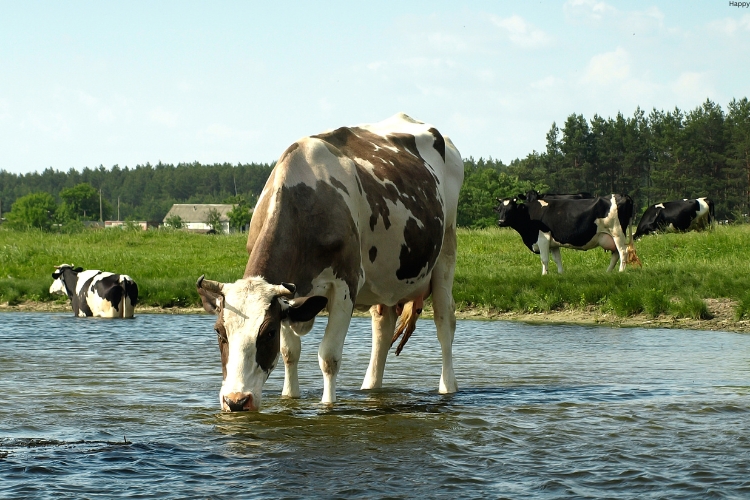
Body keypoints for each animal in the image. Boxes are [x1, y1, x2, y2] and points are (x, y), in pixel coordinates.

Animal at [195, 115, 464, 412]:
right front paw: (290, 398)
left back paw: (447, 388)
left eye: (268, 333)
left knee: (444, 322)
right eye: (220, 332)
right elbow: (290, 353)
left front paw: (328, 407)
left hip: (446, 253)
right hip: (386, 278)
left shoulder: (345, 283)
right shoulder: (289, 296)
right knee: (383, 327)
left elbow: (329, 357)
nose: (236, 400)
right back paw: (371, 388)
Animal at [496, 194, 636, 274]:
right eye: (499, 209)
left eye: (511, 209)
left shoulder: (543, 238)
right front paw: (560, 274)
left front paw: (544, 275)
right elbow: (557, 259)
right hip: (611, 236)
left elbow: (544, 259)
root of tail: (623, 195)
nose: (501, 222)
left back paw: (621, 272)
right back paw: (608, 272)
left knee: (623, 252)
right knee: (615, 254)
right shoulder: (553, 243)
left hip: (617, 233)